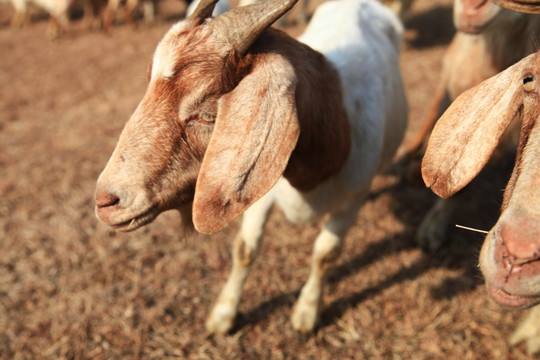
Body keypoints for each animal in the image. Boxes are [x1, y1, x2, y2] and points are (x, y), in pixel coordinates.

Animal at [95, 0, 408, 334]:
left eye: (206, 115)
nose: (106, 201)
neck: (337, 129)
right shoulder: (260, 193)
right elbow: (246, 249)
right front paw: (223, 315)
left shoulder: (351, 199)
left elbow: (326, 254)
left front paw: (306, 314)